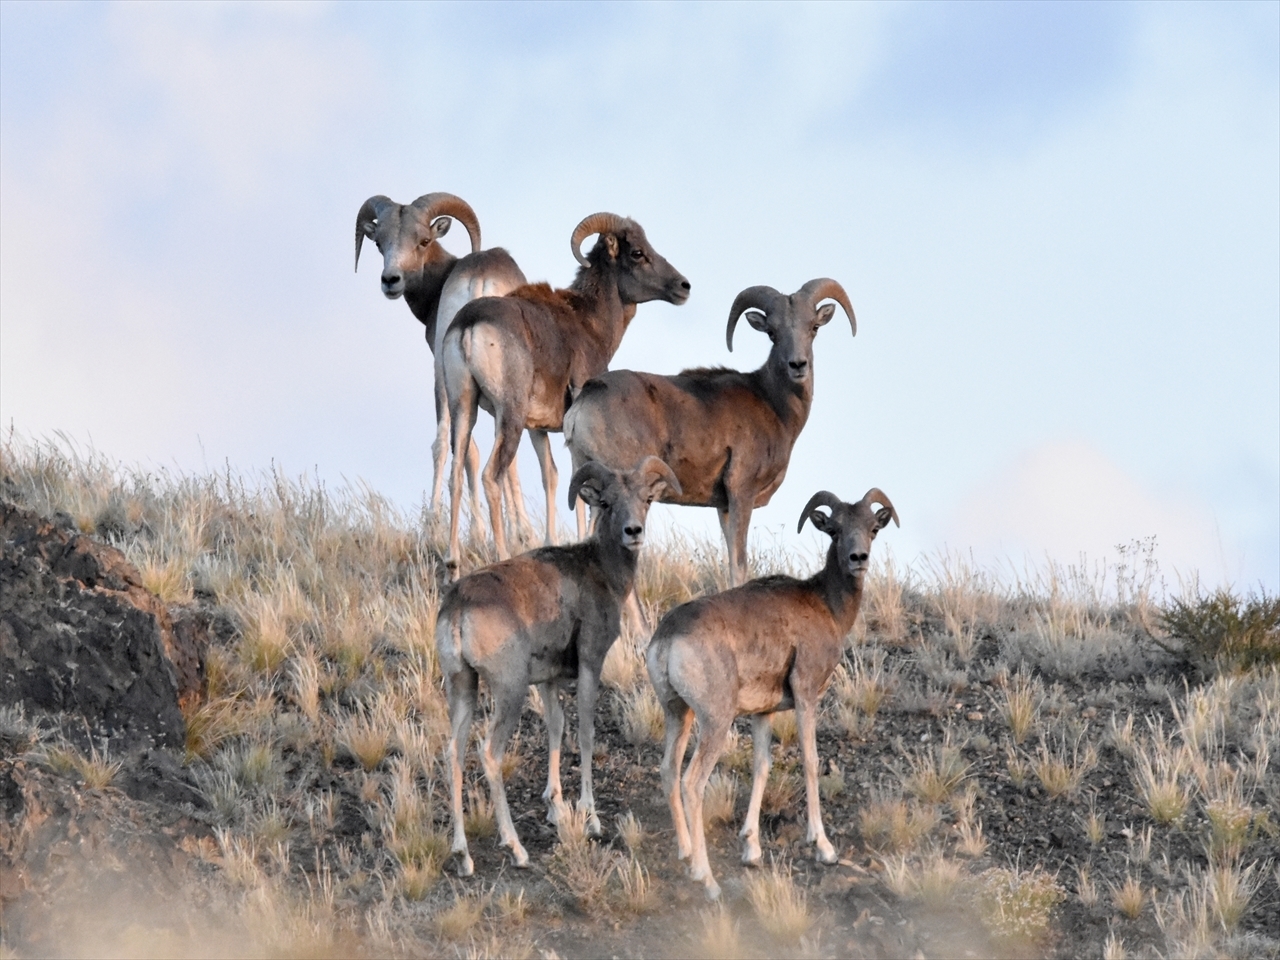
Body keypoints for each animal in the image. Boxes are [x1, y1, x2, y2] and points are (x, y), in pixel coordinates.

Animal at [353, 192, 532, 545]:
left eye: (423, 241)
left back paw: (435, 524)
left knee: (446, 444)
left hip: (445, 374)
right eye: (379, 242)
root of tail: (478, 284)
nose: (390, 280)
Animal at [437, 458, 680, 880]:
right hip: (509, 689)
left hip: (462, 685)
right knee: (489, 754)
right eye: (607, 502)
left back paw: (463, 856)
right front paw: (591, 818)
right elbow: (584, 734)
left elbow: (556, 729)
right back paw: (516, 849)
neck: (601, 572)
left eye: (646, 499)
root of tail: (458, 606)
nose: (633, 532)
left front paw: (555, 808)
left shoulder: (548, 681)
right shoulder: (590, 664)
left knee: (454, 752)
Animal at [445, 213, 696, 578]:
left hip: (463, 409)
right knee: (492, 476)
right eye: (637, 253)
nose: (683, 286)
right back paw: (500, 556)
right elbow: (583, 495)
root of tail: (469, 325)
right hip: (509, 416)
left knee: (455, 474)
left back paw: (452, 564)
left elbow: (552, 477)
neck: (590, 323)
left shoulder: (538, 429)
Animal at [565, 277, 855, 591]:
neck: (773, 404)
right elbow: (739, 562)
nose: (798, 365)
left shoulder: (723, 506)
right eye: (772, 332)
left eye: (813, 327)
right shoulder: (741, 492)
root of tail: (586, 399)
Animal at [650, 488, 901, 901]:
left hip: (677, 713)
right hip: (715, 722)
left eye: (872, 528)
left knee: (669, 771)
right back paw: (707, 879)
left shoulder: (762, 713)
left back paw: (686, 854)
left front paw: (751, 849)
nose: (858, 559)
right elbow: (811, 761)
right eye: (835, 530)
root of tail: (668, 638)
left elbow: (761, 767)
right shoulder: (806, 695)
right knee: (692, 783)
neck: (827, 606)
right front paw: (824, 848)